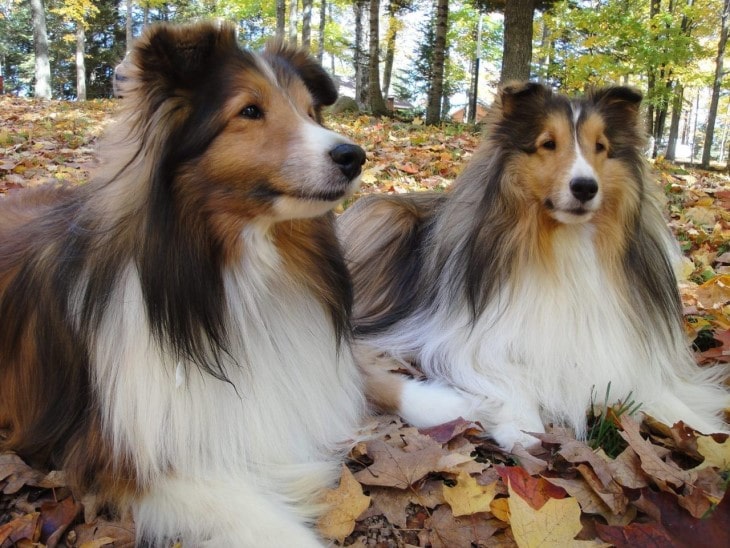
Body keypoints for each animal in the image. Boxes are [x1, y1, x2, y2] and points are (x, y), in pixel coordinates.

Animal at [338, 81, 724, 450]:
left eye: (600, 146)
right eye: (548, 143)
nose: (585, 187)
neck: (563, 245)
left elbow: (659, 392)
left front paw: (707, 433)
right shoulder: (465, 339)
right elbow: (504, 373)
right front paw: (521, 424)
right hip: (386, 217)